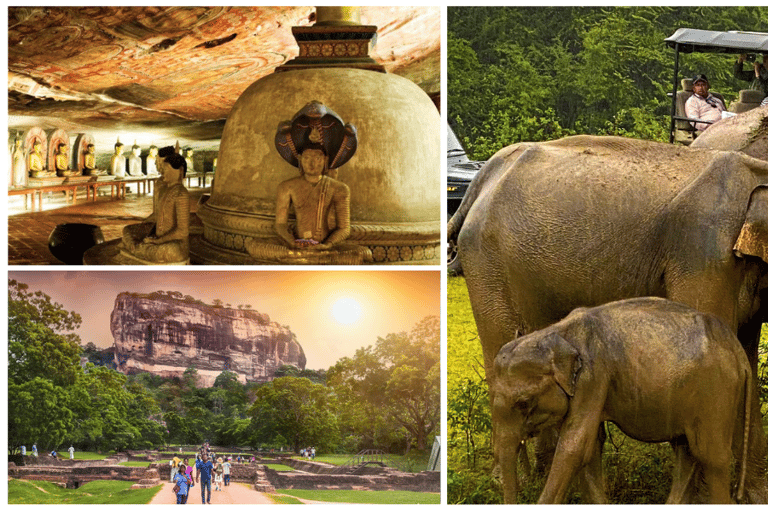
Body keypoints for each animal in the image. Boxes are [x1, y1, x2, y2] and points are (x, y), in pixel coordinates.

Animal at [492, 298, 752, 502]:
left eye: (524, 403)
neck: (555, 332)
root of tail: (738, 349)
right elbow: (590, 446)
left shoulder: (593, 377)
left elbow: (575, 447)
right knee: (686, 451)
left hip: (717, 391)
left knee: (710, 457)